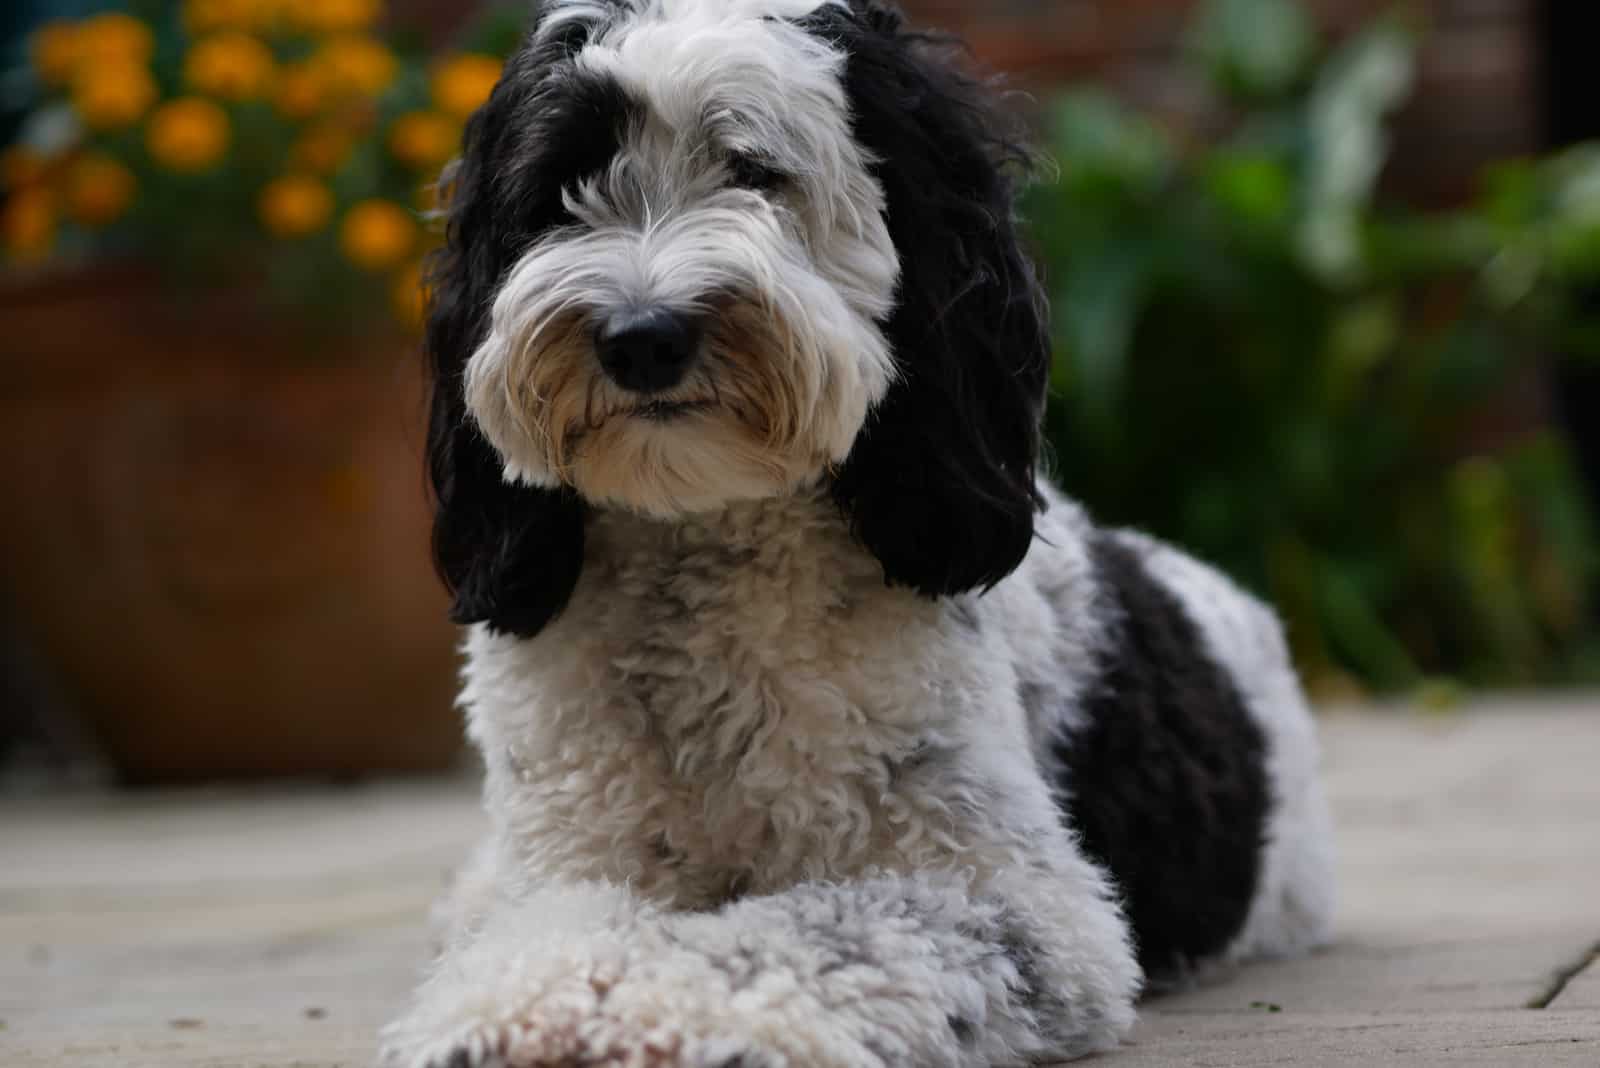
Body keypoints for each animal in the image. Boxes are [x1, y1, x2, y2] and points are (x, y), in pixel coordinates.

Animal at [380, 4, 1331, 1061]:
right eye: (558, 189)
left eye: (754, 170)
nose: (642, 336)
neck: (705, 550)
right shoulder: (570, 854)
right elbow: (534, 932)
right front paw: (521, 1008)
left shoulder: (1016, 899)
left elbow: (799, 936)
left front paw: (660, 1008)